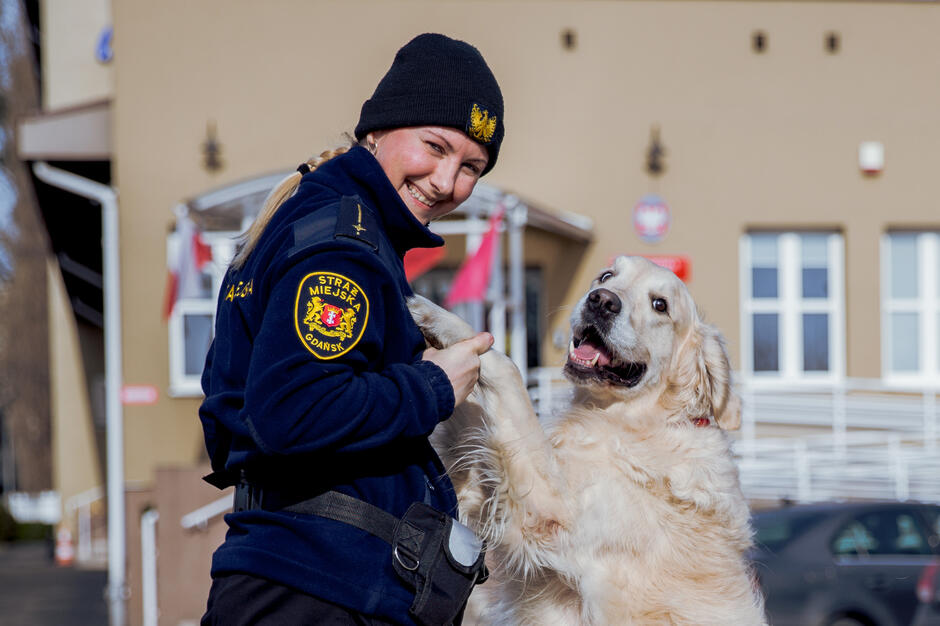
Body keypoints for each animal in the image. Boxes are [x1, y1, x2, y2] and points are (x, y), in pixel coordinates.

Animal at [408, 256, 768, 620]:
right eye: (606, 276)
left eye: (660, 305)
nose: (602, 301)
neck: (633, 421)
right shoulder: (484, 488)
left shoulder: (550, 511)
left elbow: (507, 367)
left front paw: (432, 313)